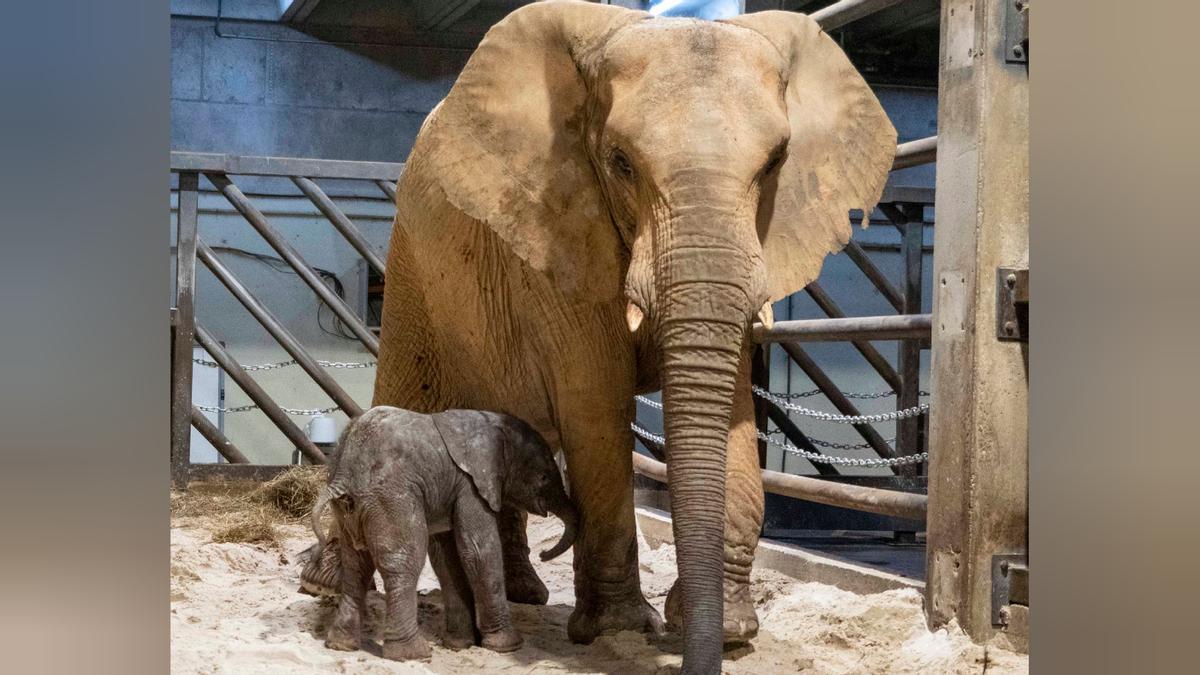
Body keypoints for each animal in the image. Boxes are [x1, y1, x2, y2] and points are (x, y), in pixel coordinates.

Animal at [307, 403, 573, 658]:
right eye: (543, 477)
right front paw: (508, 646)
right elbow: (479, 550)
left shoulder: (449, 490)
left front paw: (460, 645)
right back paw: (413, 654)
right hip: (390, 499)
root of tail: (343, 475)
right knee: (405, 562)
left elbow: (447, 557)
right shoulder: (471, 486)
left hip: (350, 509)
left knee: (355, 567)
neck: (493, 424)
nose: (543, 554)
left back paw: (341, 644)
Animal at [372, 2, 892, 667]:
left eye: (777, 162)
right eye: (620, 162)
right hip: (411, 276)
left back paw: (526, 595)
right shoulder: (558, 233)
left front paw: (730, 631)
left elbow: (734, 411)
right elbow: (596, 409)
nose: (695, 650)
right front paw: (619, 630)